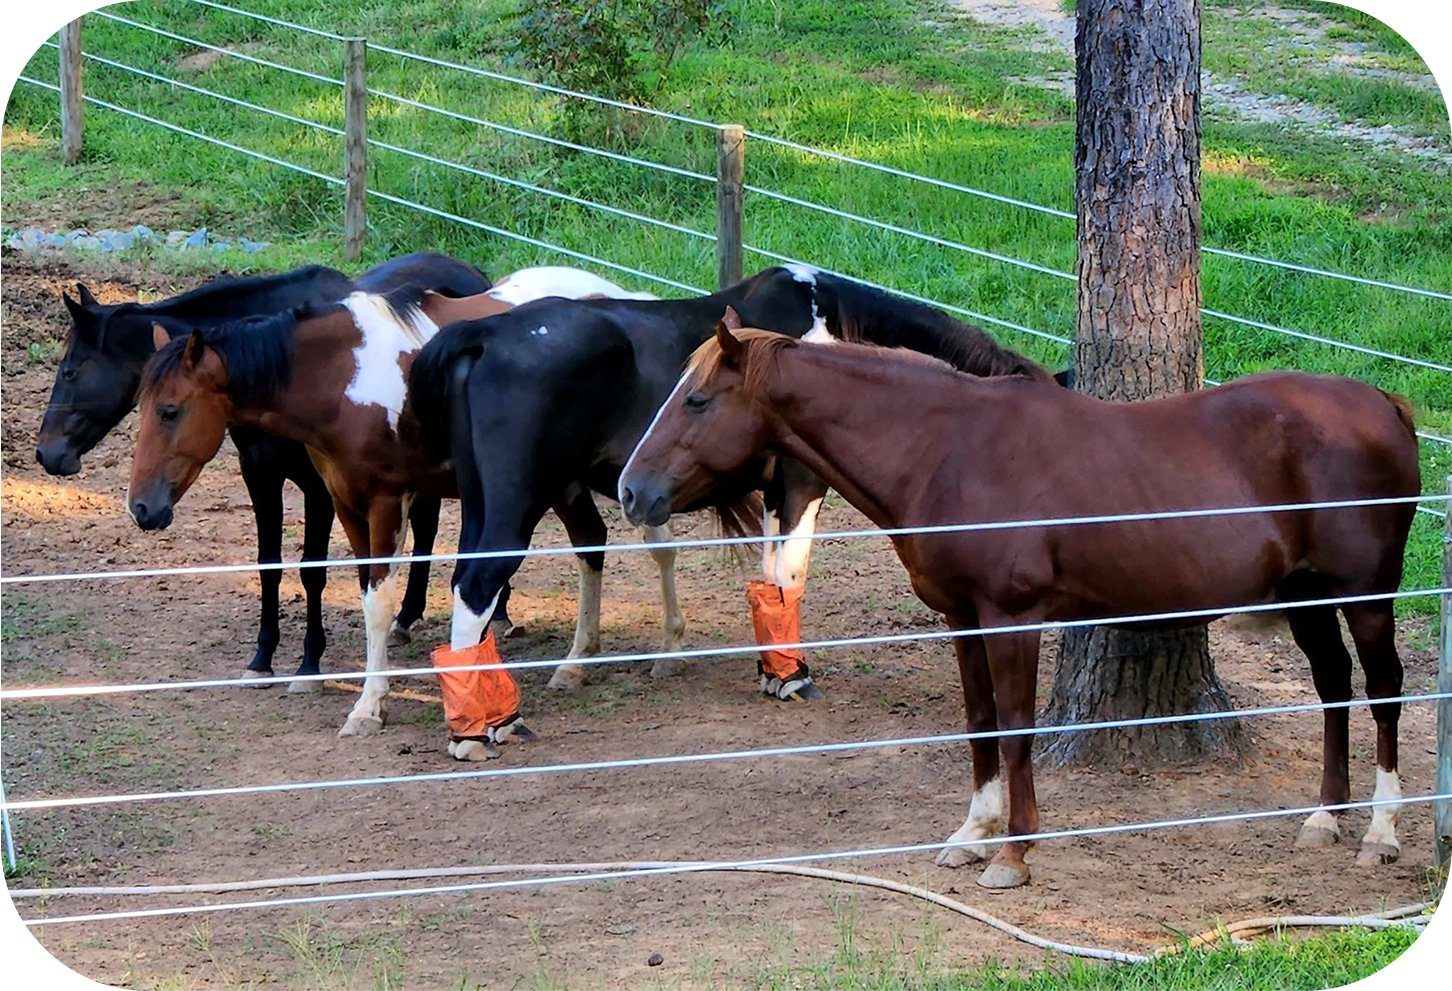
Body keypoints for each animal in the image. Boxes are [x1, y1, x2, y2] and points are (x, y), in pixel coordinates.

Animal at [36, 254, 493, 689]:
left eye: (70, 371)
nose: (46, 454)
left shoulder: (319, 489)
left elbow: (312, 571)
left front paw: (309, 664)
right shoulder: (260, 475)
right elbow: (268, 565)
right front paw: (262, 658)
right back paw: (407, 617)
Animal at [126, 268, 667, 748]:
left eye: (170, 411)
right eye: (141, 407)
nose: (142, 507)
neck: (344, 377)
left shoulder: (386, 502)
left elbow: (378, 602)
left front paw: (368, 706)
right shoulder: (345, 503)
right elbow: (364, 593)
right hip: (561, 483)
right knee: (591, 543)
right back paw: (579, 663)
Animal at [408, 264, 1054, 716]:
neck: (827, 337)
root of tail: (484, 333)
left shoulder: (773, 492)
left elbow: (769, 579)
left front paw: (773, 670)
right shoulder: (800, 485)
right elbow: (788, 576)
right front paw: (792, 676)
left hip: (498, 498)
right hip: (516, 503)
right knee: (476, 585)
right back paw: (484, 725)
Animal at [618, 319, 1419, 889]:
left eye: (696, 399)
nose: (630, 490)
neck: (947, 448)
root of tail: (1384, 403)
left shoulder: (1013, 618)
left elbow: (1014, 728)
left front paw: (1013, 854)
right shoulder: (963, 618)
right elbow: (979, 726)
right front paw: (972, 835)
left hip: (1366, 595)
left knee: (1383, 690)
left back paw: (1379, 833)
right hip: (1306, 594)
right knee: (1333, 687)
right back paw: (1324, 820)